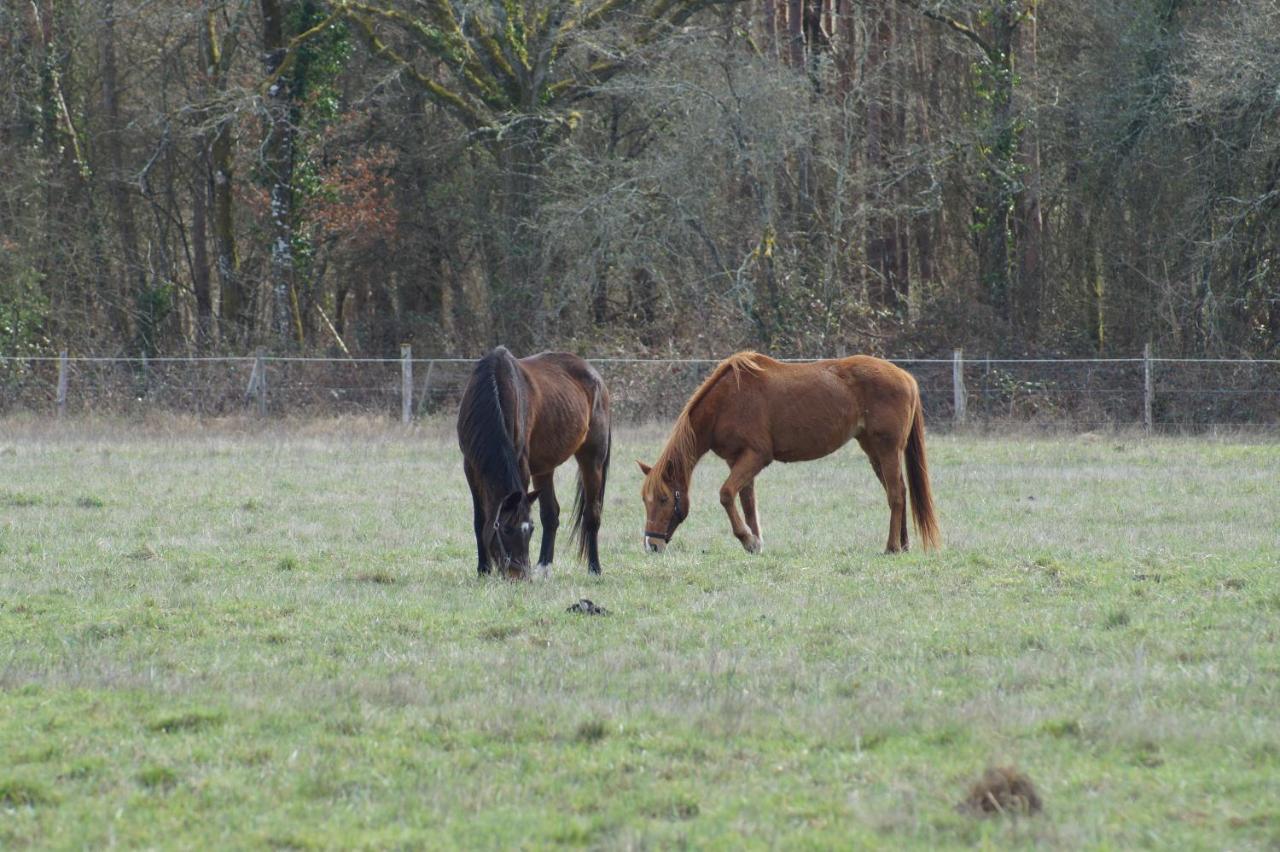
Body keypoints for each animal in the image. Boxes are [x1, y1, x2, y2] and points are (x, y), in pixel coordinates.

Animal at [455, 345, 609, 578]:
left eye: (530, 530)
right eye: (506, 529)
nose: (519, 575)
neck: (494, 388)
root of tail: (596, 377)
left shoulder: (521, 465)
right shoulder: (471, 468)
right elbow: (479, 519)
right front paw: (483, 569)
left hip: (592, 460)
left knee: (592, 514)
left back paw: (594, 568)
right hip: (544, 468)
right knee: (551, 514)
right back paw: (544, 567)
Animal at [640, 350, 942, 555]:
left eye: (664, 499)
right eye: (645, 500)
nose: (652, 544)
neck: (728, 401)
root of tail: (907, 377)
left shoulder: (756, 457)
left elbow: (726, 495)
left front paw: (747, 539)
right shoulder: (738, 461)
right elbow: (747, 503)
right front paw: (755, 542)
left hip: (887, 449)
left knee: (895, 495)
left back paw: (891, 547)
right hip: (874, 452)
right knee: (899, 491)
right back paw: (903, 544)